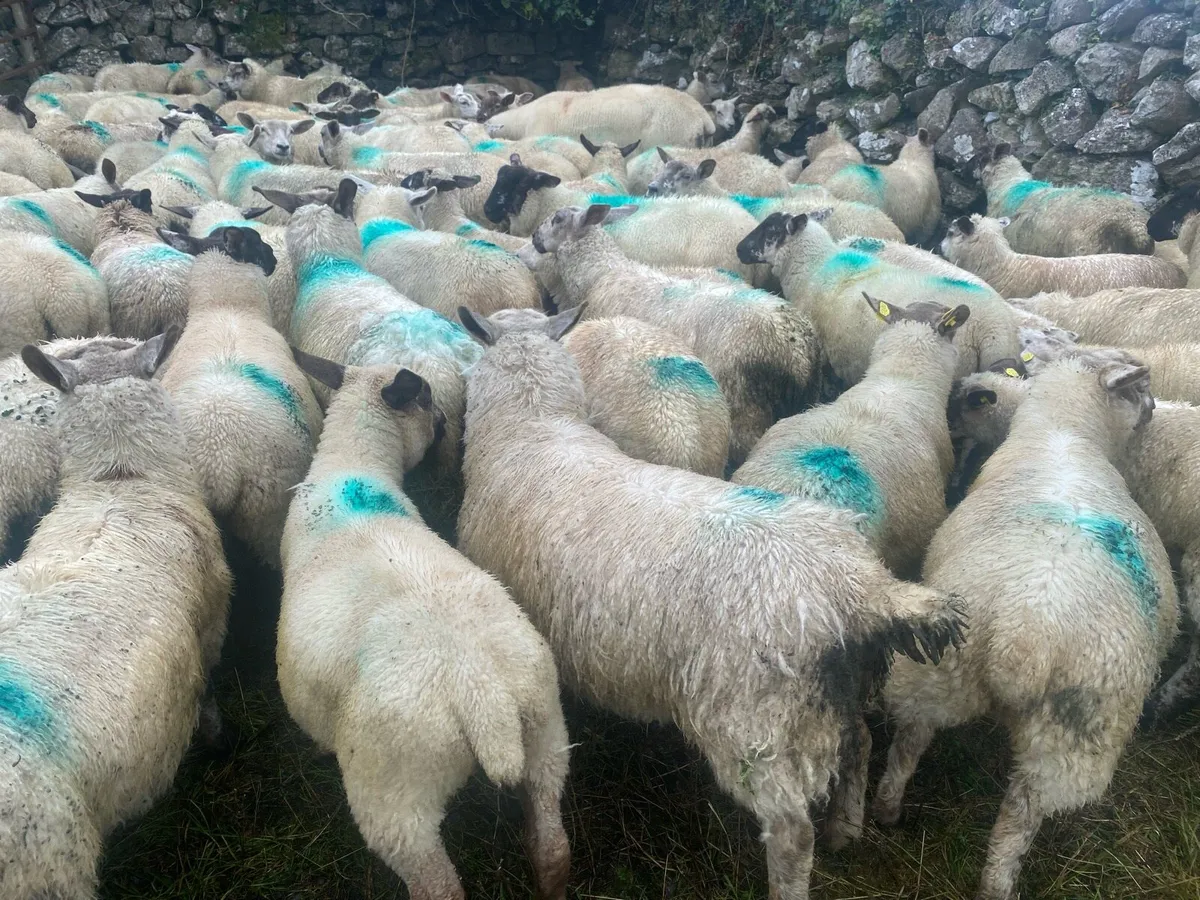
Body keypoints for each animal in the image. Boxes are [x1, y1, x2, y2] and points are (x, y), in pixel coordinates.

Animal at [276, 351, 569, 900]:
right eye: (430, 399)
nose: (445, 427)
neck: (352, 467)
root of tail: (485, 696)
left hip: (398, 792)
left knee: (438, 885)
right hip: (546, 730)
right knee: (553, 846)